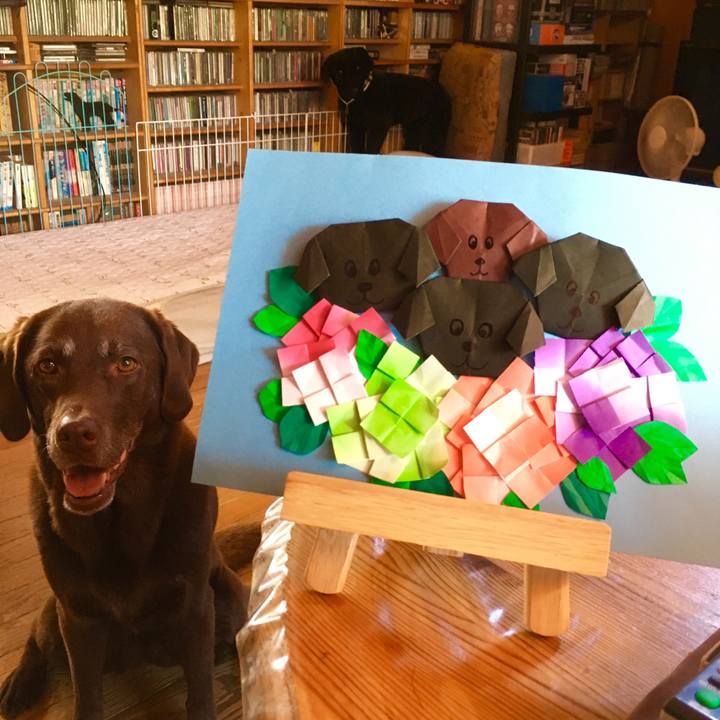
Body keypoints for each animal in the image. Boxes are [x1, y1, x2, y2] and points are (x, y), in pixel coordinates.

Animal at [0, 299, 256, 720]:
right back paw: (20, 685)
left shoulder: (196, 608)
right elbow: (87, 697)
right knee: (36, 640)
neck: (120, 519)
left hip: (229, 601)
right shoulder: (78, 619)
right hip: (55, 621)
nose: (73, 434)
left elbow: (200, 687)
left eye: (126, 363)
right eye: (47, 365)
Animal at [322, 47, 451, 155]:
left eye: (358, 68)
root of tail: (441, 90)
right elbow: (356, 149)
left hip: (433, 129)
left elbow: (371, 149)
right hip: (414, 127)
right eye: (339, 72)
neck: (363, 95)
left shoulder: (378, 127)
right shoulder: (355, 126)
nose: (353, 90)